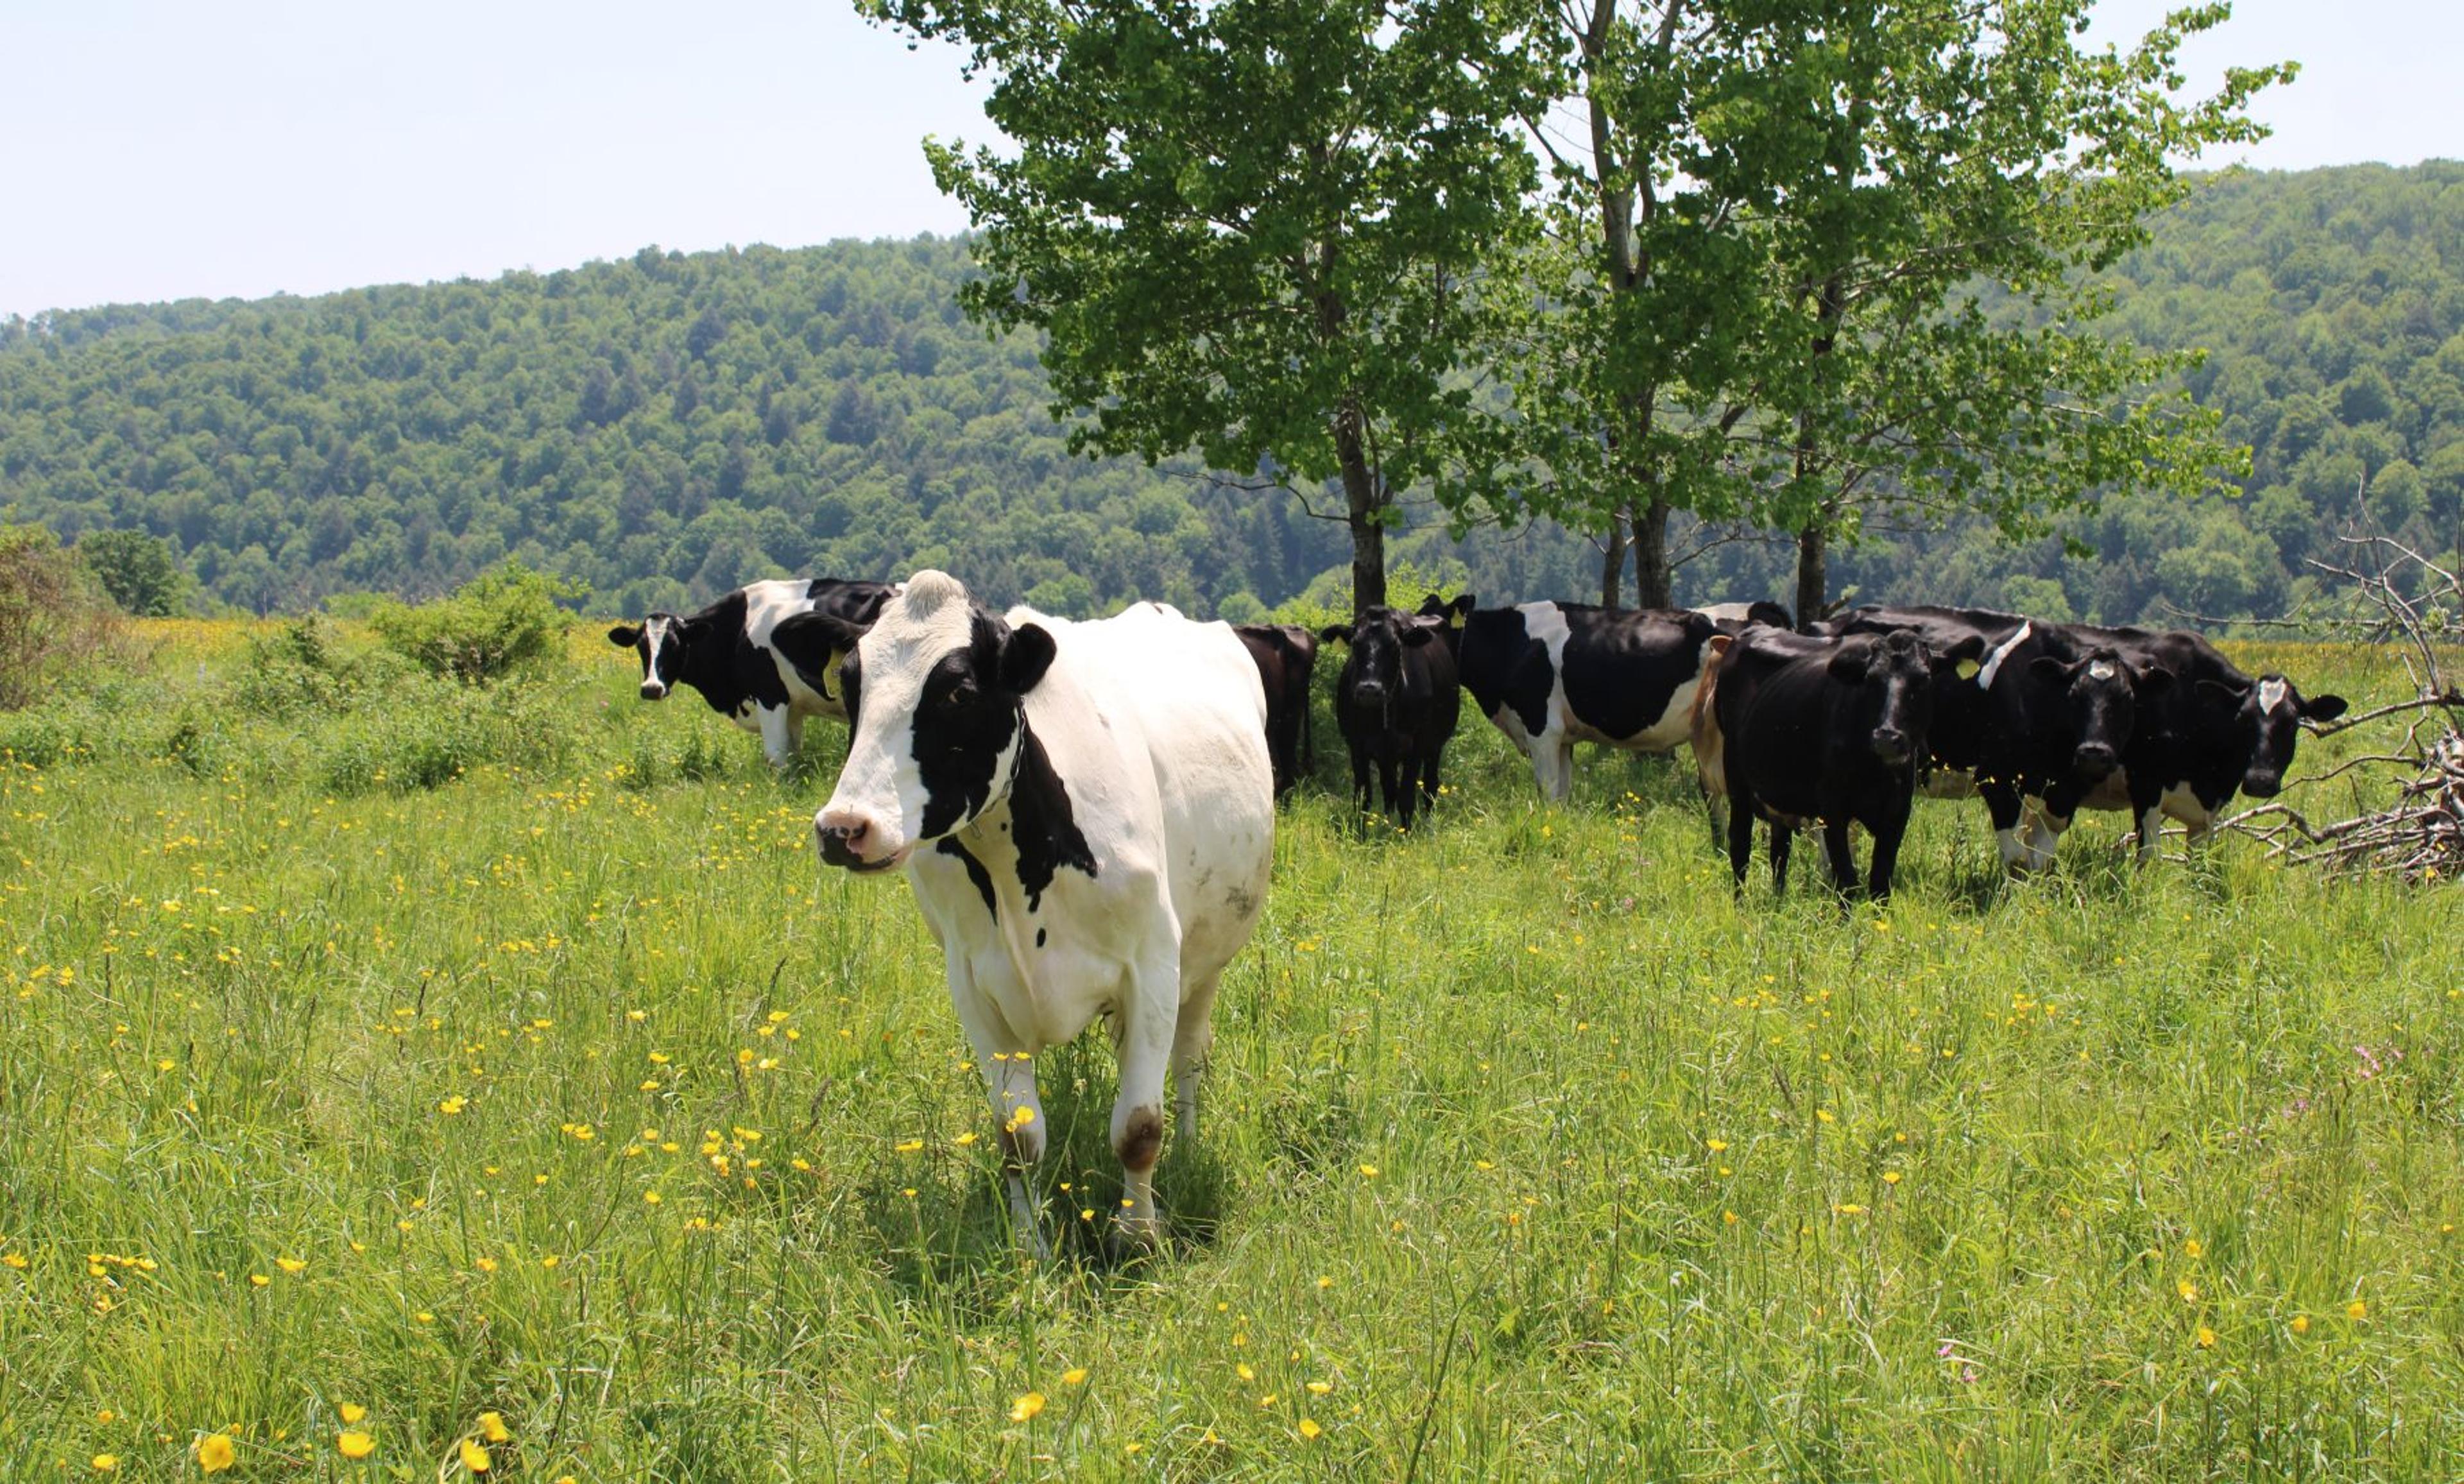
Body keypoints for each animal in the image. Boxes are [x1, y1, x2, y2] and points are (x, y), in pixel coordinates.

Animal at [607, 578, 897, 767]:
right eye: (641, 646)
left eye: (675, 645)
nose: (651, 688)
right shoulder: (794, 708)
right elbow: (793, 753)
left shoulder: (770, 695)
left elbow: (775, 756)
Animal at [775, 571, 1274, 1253]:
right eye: (852, 683)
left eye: (959, 691)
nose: (844, 827)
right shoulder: (973, 982)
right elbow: (1017, 1135)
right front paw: (1028, 1245)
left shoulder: (1153, 966)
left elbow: (1140, 1125)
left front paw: (1136, 1237)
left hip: (1206, 960)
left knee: (1190, 1056)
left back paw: (1191, 1147)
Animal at [1321, 605, 1462, 828]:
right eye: (1355, 643)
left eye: (1395, 644)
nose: (1369, 690)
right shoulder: (1357, 745)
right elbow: (1362, 797)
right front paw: (1360, 834)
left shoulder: (1417, 746)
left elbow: (1407, 798)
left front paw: (1407, 833)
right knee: (1389, 789)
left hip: (1435, 744)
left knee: (1430, 785)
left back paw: (1429, 825)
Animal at [1716, 625, 1941, 901]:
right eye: (1871, 680)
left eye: (1923, 679)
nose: (1887, 738)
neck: (1874, 769)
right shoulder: (1833, 809)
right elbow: (1846, 880)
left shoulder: (1897, 811)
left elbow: (1880, 883)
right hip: (1736, 782)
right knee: (1740, 849)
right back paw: (1740, 905)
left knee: (1779, 853)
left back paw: (1777, 903)